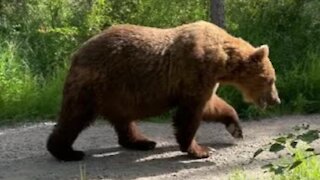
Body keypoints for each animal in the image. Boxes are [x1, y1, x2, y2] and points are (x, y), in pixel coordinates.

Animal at [46, 21, 278, 162]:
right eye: (271, 80)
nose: (276, 100)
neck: (222, 60)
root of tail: (77, 53)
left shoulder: (206, 80)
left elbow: (212, 105)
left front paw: (236, 128)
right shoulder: (195, 70)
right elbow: (190, 114)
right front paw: (198, 149)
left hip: (118, 93)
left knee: (123, 119)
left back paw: (142, 142)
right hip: (96, 84)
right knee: (75, 116)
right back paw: (66, 151)